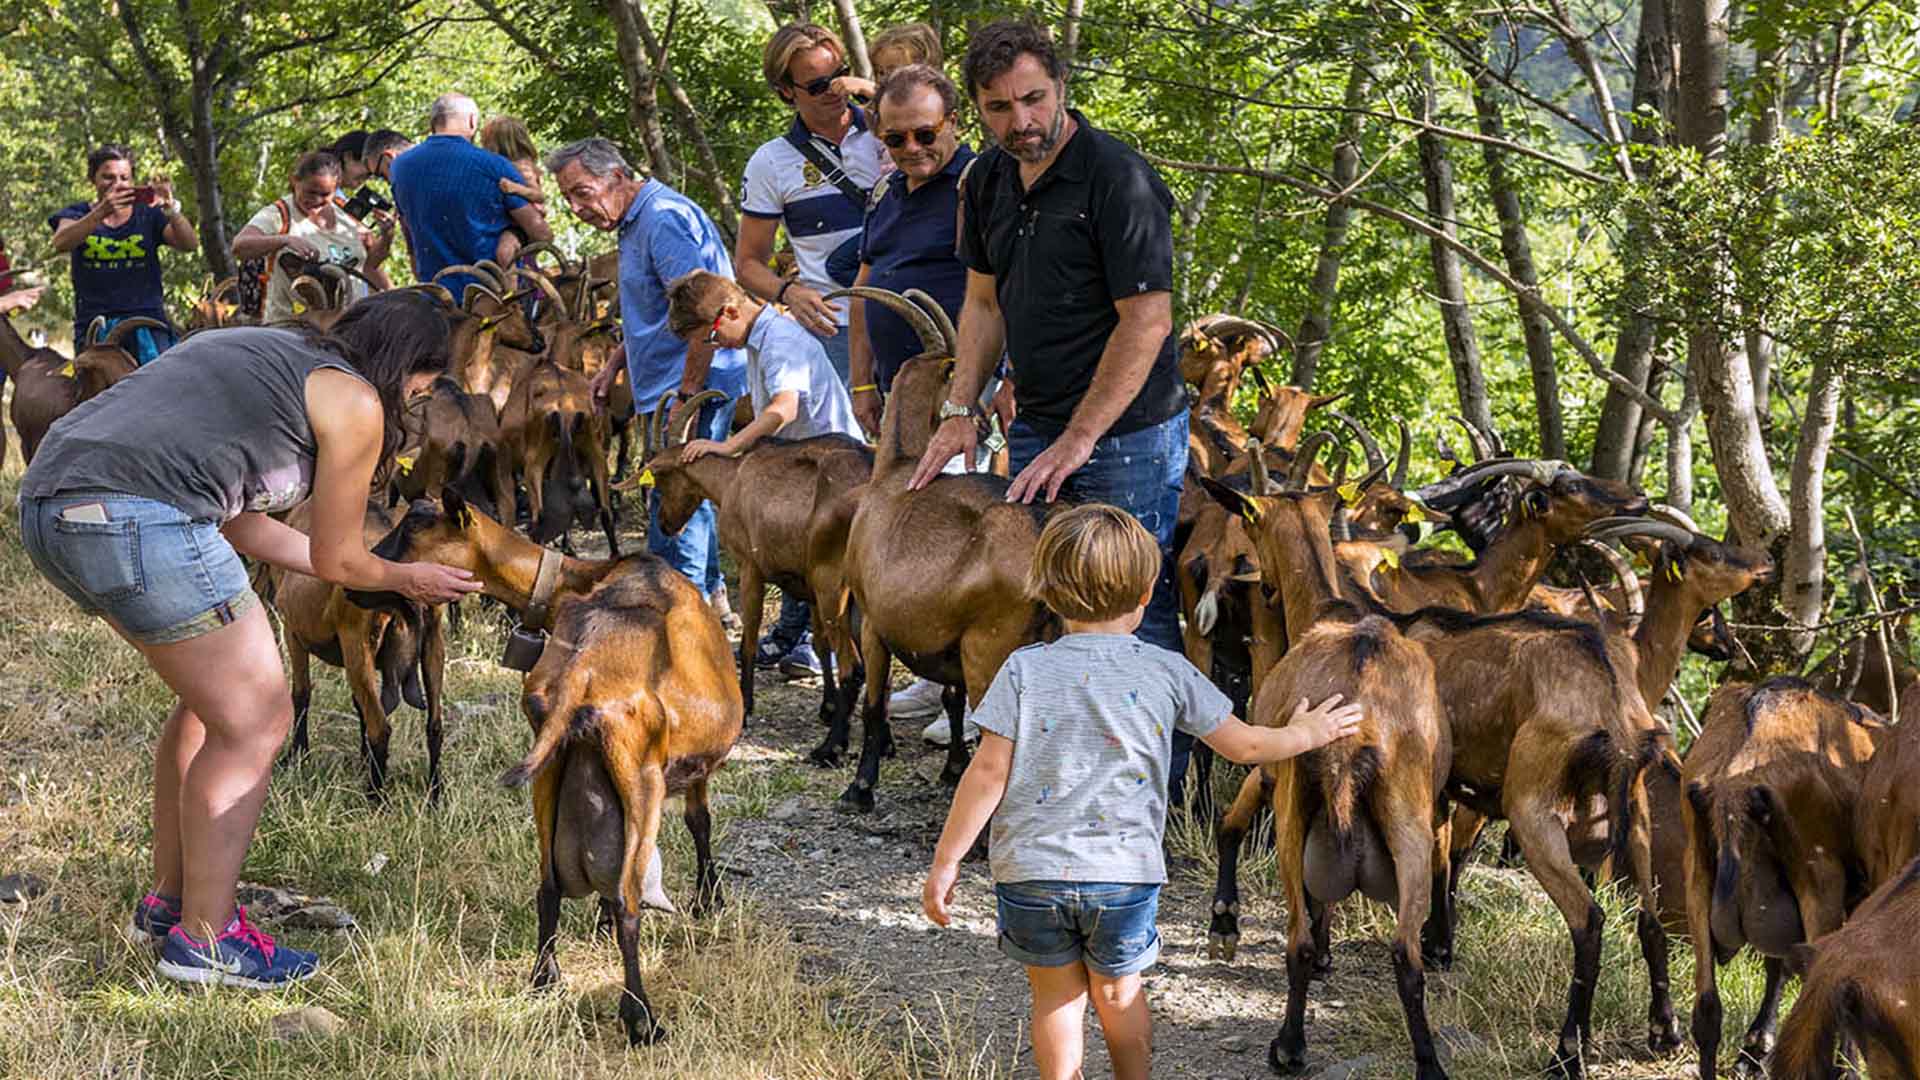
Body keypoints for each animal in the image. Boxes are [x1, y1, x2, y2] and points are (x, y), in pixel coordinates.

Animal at [266, 499, 445, 795]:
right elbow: (357, 704)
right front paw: (362, 761)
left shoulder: (293, 631)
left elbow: (301, 694)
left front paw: (296, 757)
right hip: (432, 643)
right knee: (435, 724)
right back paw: (435, 794)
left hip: (356, 643)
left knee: (380, 728)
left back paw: (375, 797)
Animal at [360, 488, 741, 1045]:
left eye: (412, 532)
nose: (355, 583)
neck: (573, 583)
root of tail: (583, 675)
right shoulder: (693, 768)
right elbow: (700, 821)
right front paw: (709, 899)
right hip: (639, 778)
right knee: (627, 901)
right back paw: (641, 1018)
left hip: (549, 769)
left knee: (548, 885)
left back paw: (545, 978)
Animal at [1198, 445, 1451, 1076]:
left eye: (1250, 522)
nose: (1255, 582)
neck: (1330, 611)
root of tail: (1353, 739)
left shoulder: (1269, 764)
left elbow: (1232, 824)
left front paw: (1225, 921)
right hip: (1407, 825)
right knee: (1405, 955)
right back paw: (1428, 1062)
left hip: (1295, 816)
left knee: (1297, 937)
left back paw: (1289, 1045)